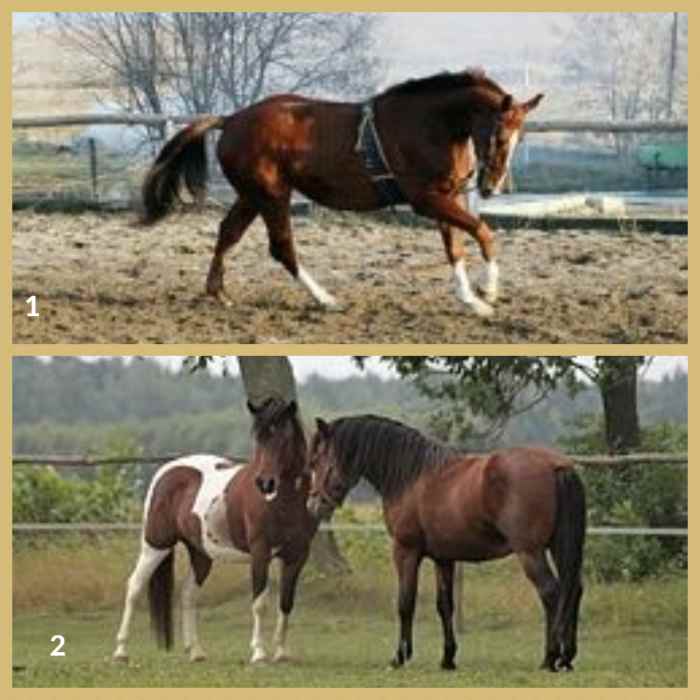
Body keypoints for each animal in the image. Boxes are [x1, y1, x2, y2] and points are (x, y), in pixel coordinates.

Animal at [112, 398, 317, 665]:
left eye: (285, 437)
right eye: (258, 438)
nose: (265, 483)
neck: (283, 502)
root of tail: (166, 471)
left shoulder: (297, 556)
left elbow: (286, 602)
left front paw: (281, 653)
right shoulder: (260, 552)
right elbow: (259, 603)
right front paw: (259, 653)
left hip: (201, 554)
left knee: (188, 594)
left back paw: (196, 652)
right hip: (156, 545)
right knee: (135, 586)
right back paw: (121, 651)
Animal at [141, 69, 544, 317]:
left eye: (520, 137)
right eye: (500, 135)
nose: (491, 187)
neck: (434, 125)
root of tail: (231, 120)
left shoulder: (447, 196)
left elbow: (455, 248)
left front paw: (472, 301)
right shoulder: (427, 199)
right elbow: (482, 230)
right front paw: (489, 293)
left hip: (252, 195)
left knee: (228, 233)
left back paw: (219, 293)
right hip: (272, 195)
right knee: (281, 247)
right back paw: (325, 299)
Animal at [306, 414, 586, 673]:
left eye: (318, 459)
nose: (314, 504)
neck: (410, 477)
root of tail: (555, 465)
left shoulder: (406, 551)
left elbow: (405, 603)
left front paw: (400, 657)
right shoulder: (444, 558)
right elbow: (445, 606)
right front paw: (448, 658)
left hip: (530, 552)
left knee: (551, 592)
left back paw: (550, 658)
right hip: (557, 547)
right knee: (573, 590)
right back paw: (567, 658)